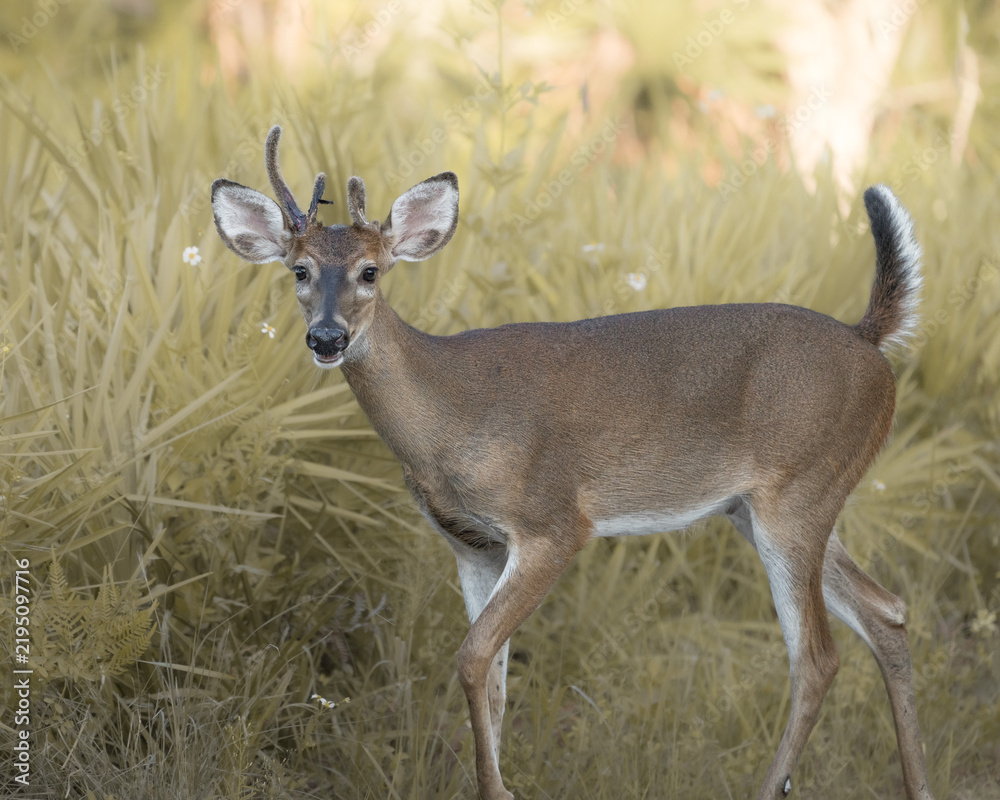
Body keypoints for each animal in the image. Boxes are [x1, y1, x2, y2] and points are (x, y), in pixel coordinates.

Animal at [211, 126, 935, 800]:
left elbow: (472, 656)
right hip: (764, 506)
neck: (448, 418)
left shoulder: (554, 523)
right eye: (299, 271)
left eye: (370, 271)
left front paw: (498, 791)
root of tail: (870, 343)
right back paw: (918, 786)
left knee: (817, 656)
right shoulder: (471, 544)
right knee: (888, 611)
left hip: (797, 494)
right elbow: (494, 679)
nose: (327, 338)